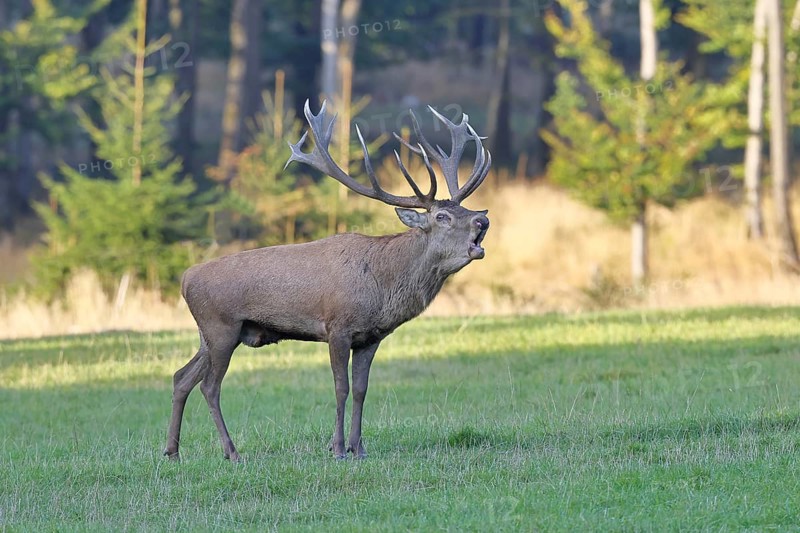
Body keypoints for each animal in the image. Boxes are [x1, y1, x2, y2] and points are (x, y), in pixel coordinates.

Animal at [164, 100, 491, 462]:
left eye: (464, 209)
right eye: (442, 216)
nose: (483, 220)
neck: (383, 286)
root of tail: (186, 279)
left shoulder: (370, 337)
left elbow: (361, 389)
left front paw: (358, 448)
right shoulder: (338, 326)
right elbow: (341, 387)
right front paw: (337, 448)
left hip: (211, 335)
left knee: (181, 376)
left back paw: (172, 451)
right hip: (220, 327)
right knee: (209, 385)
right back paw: (231, 452)